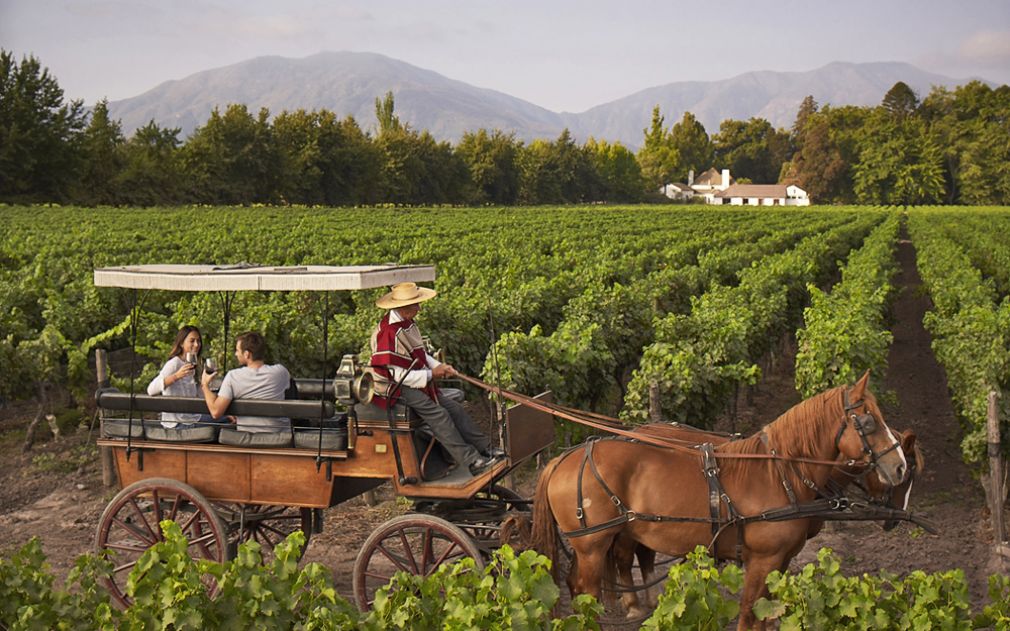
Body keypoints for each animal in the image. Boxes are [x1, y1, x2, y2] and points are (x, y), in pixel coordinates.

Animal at [614, 424, 925, 613]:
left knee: (643, 554)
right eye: (906, 471)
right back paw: (633, 603)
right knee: (625, 556)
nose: (894, 520)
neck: (798, 469)